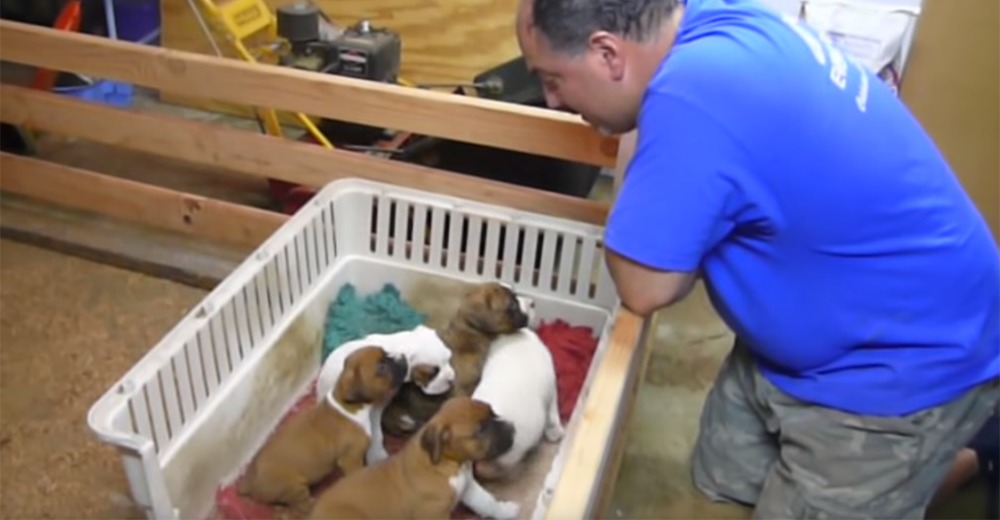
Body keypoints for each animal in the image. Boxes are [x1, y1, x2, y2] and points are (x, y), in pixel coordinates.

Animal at [237, 346, 406, 516]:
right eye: (381, 367)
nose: (402, 357)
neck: (350, 405)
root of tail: (249, 482)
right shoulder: (351, 459)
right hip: (293, 486)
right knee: (302, 505)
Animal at [306, 394, 520, 520]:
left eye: (493, 412)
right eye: (481, 430)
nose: (512, 427)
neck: (448, 463)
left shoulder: (468, 488)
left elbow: (487, 502)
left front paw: (505, 511)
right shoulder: (435, 514)